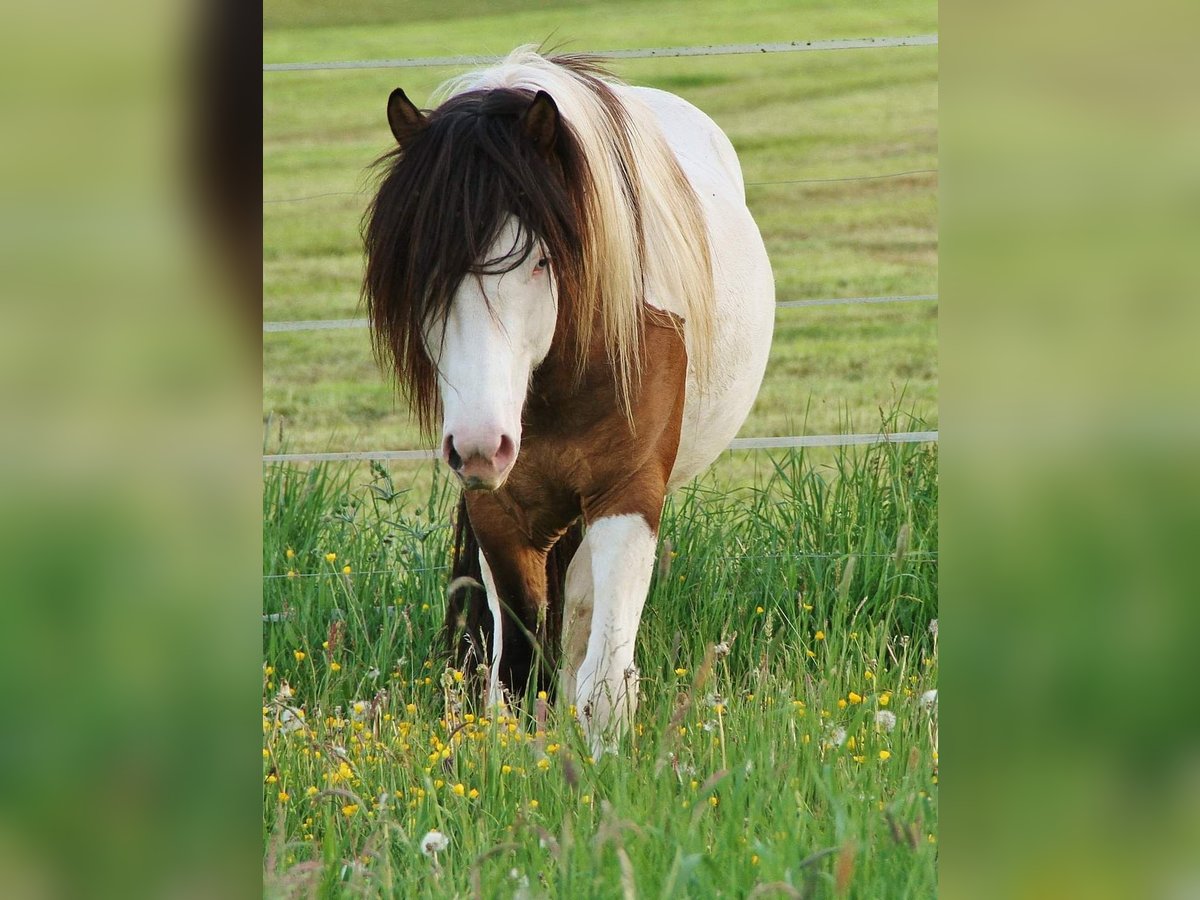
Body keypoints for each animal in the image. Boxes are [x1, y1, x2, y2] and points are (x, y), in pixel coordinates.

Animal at [364, 47, 772, 753]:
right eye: (420, 266)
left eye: (538, 260)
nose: (480, 445)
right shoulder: (499, 510)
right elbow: (517, 671)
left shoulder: (629, 495)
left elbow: (603, 678)